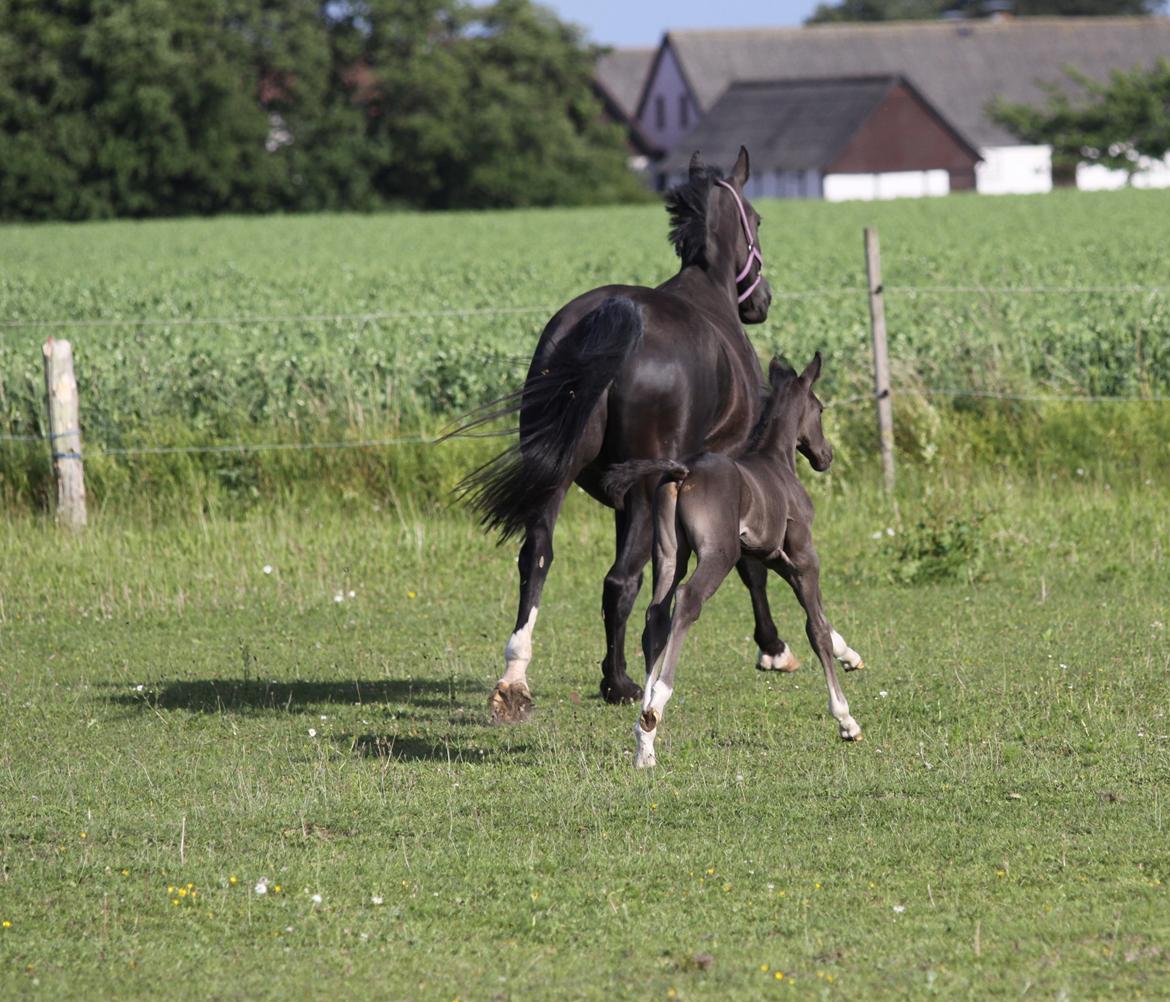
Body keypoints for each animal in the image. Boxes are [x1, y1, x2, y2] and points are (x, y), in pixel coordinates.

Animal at [608, 351, 865, 767]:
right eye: (821, 409)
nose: (826, 456)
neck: (777, 461)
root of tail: (683, 470)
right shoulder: (805, 556)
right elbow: (816, 629)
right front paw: (846, 720)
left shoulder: (774, 557)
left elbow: (821, 620)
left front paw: (851, 655)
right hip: (719, 554)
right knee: (687, 600)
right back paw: (658, 701)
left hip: (670, 555)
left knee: (656, 616)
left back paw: (645, 738)